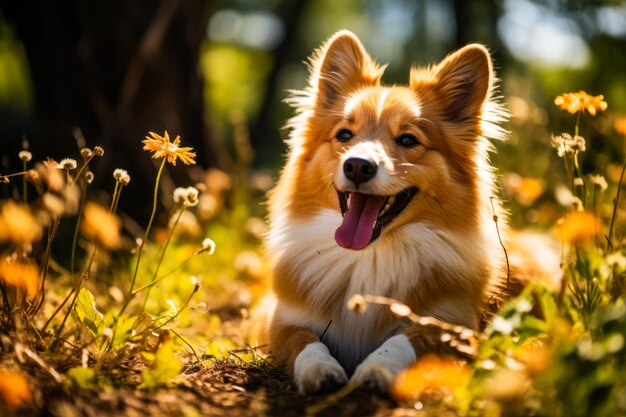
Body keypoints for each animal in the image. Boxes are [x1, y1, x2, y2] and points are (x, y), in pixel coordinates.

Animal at [264, 29, 512, 394]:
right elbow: (306, 342)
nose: (357, 166)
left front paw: (377, 368)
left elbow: (404, 340)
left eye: (408, 140)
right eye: (345, 135)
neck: (371, 256)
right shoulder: (280, 320)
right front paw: (319, 370)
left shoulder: (454, 325)